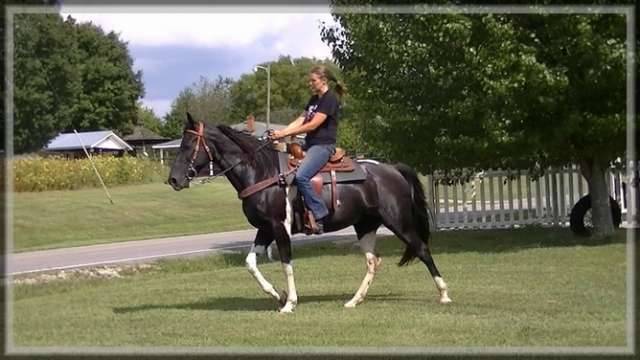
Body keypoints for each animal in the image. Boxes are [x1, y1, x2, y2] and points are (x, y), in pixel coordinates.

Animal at [169, 114, 450, 312]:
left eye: (190, 144)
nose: (173, 179)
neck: (262, 172)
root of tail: (392, 169)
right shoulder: (264, 228)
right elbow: (250, 263)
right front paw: (278, 295)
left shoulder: (279, 227)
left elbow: (286, 263)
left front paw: (290, 303)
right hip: (365, 225)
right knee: (373, 261)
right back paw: (354, 300)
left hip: (398, 221)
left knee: (422, 249)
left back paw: (444, 294)